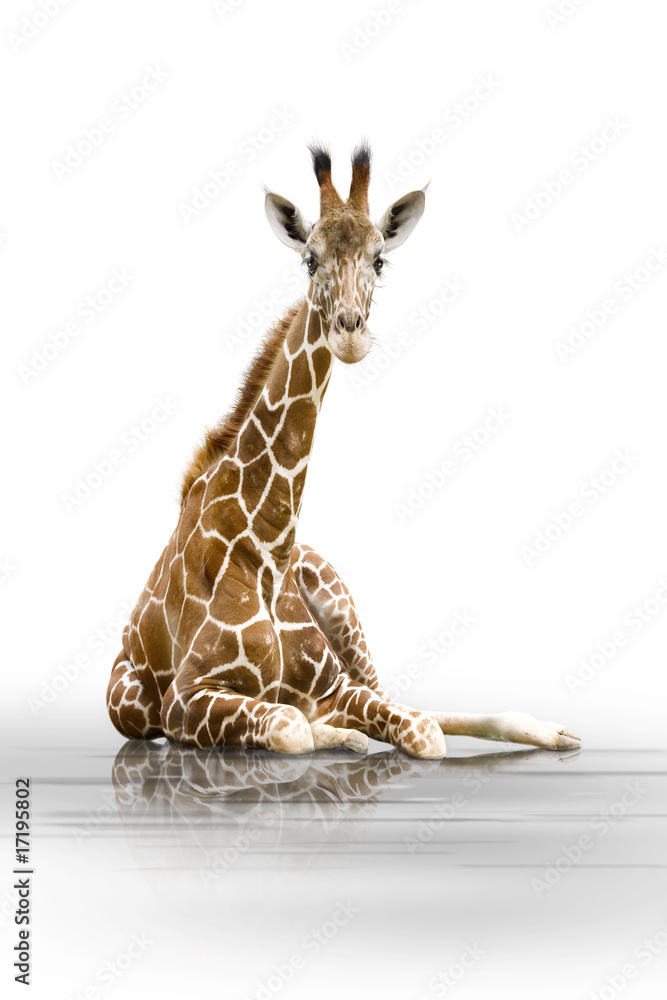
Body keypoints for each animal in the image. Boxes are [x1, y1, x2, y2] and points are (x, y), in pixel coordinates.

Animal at [106, 143, 581, 759]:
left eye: (380, 261)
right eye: (310, 260)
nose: (350, 333)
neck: (267, 546)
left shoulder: (334, 684)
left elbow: (420, 731)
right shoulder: (185, 698)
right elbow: (293, 726)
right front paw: (338, 735)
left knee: (403, 698)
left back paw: (553, 730)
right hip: (130, 704)